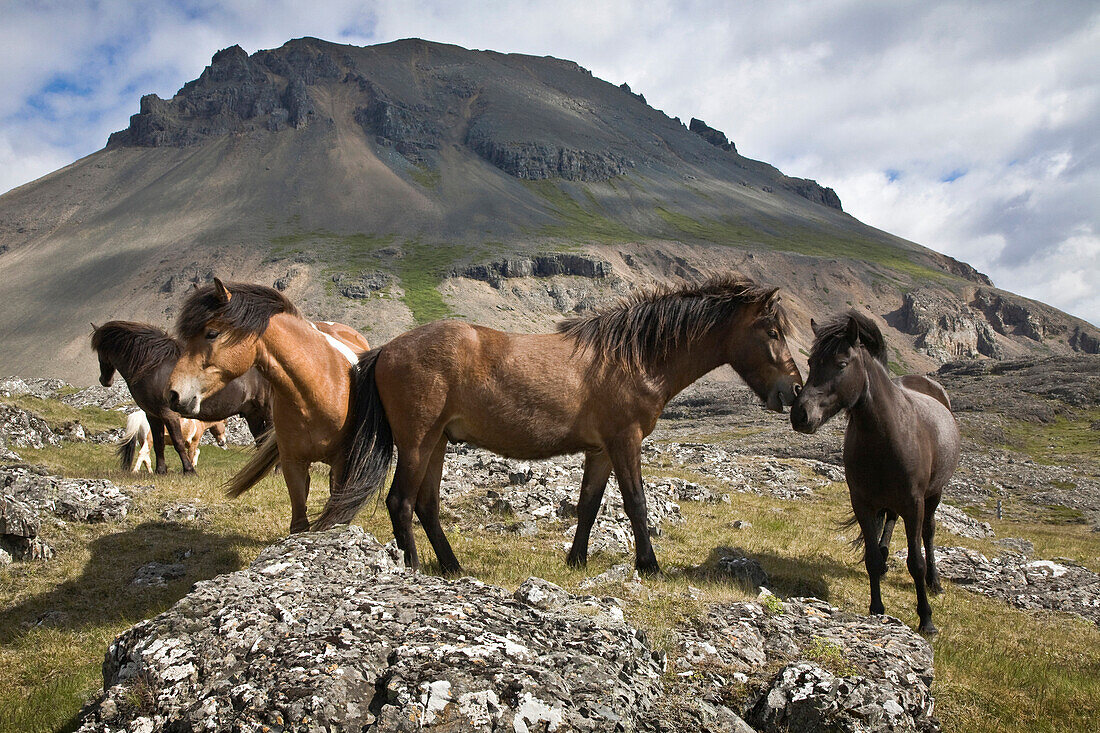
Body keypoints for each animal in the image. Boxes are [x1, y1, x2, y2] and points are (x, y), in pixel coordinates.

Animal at [90, 321, 275, 473]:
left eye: (99, 351)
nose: (104, 380)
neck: (154, 367)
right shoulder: (153, 415)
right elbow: (159, 444)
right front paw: (160, 471)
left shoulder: (169, 414)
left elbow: (178, 443)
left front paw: (189, 470)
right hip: (253, 414)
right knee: (261, 441)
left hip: (267, 412)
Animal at [162, 280, 369, 530]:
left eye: (212, 333)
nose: (173, 394)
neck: (316, 389)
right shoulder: (292, 464)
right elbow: (299, 523)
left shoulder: (340, 462)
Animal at [301, 270, 800, 572]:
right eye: (773, 331)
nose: (794, 391)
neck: (635, 357)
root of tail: (386, 349)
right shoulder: (626, 441)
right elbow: (636, 503)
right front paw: (650, 565)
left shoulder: (601, 449)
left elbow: (589, 505)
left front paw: (576, 560)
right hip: (418, 442)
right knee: (401, 503)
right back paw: (415, 568)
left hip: (438, 443)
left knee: (426, 505)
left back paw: (452, 566)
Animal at [787, 310, 959, 633]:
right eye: (810, 362)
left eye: (841, 364)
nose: (800, 414)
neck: (887, 435)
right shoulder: (863, 503)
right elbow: (871, 559)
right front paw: (877, 610)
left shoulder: (914, 503)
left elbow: (916, 562)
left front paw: (926, 619)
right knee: (889, 524)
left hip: (934, 495)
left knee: (928, 534)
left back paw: (935, 582)